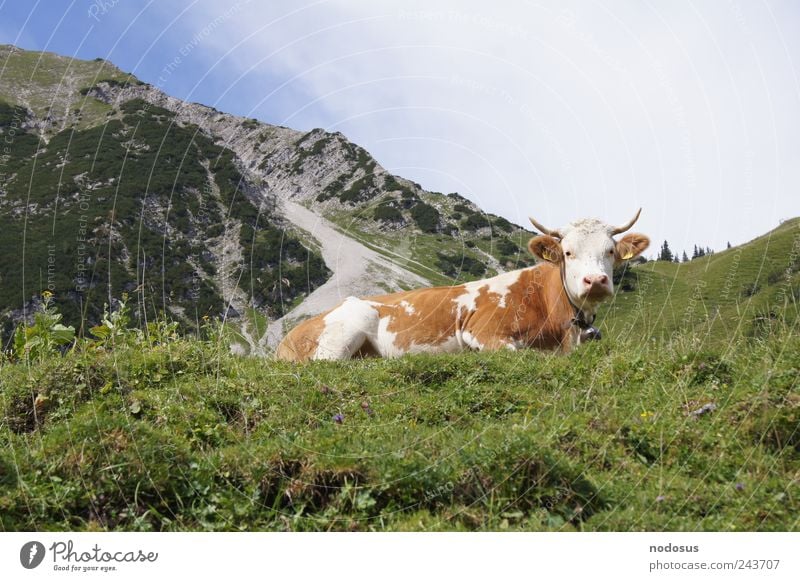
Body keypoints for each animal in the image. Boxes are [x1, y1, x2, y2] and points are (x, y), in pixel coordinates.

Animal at [276, 208, 648, 362]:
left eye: (610, 251)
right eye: (568, 253)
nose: (595, 280)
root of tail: (288, 338)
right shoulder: (481, 331)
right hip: (348, 327)